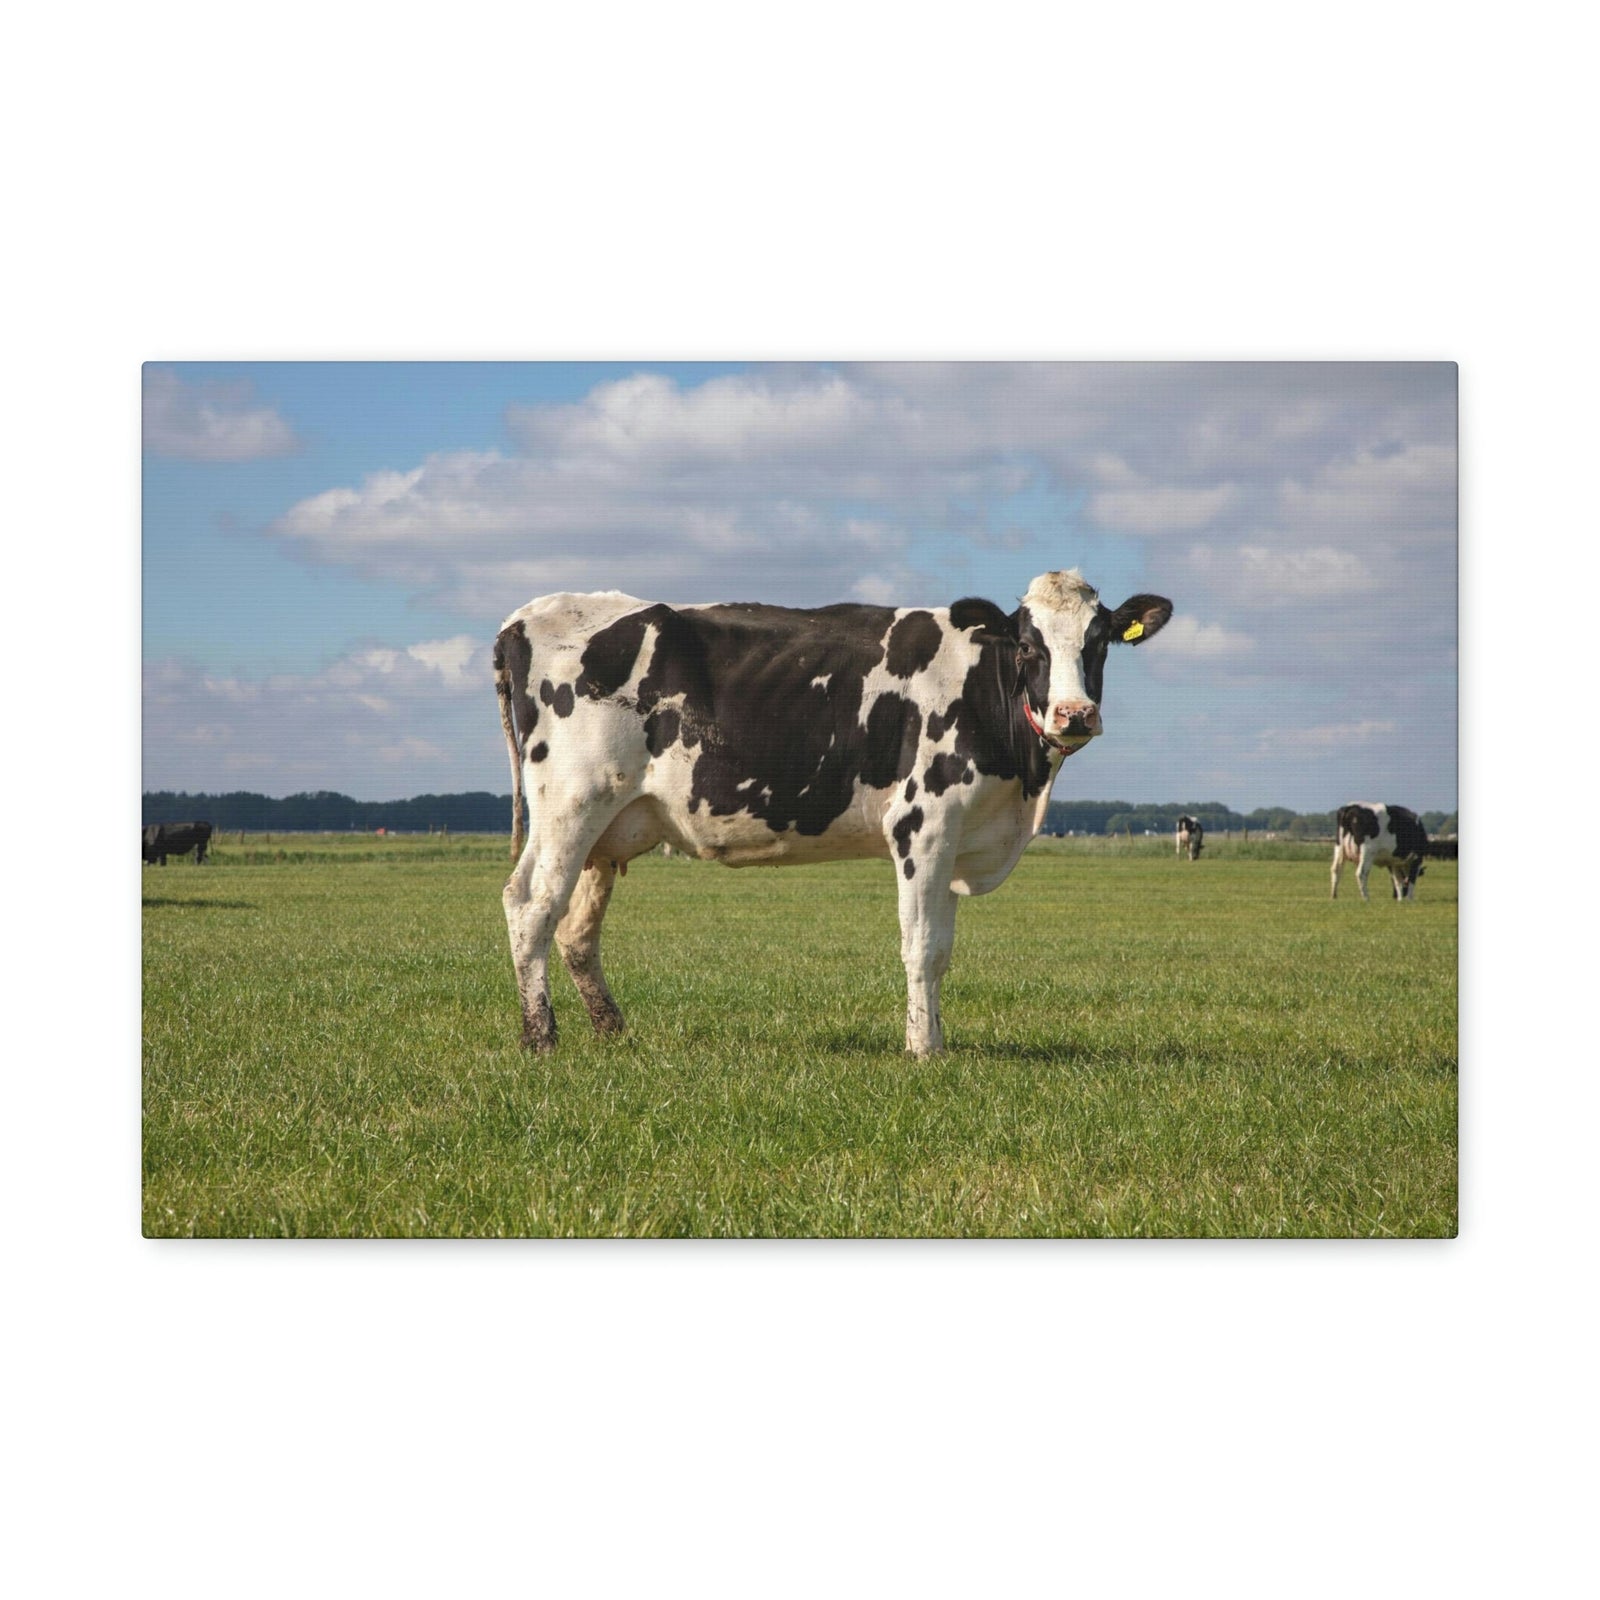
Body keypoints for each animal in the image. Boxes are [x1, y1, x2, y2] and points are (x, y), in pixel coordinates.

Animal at [494, 570, 1172, 1056]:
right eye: (1028, 646)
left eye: (1099, 642)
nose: (1074, 714)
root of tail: (526, 617)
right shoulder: (922, 825)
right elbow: (922, 946)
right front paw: (924, 1049)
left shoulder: (957, 836)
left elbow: (944, 949)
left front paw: (935, 1039)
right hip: (570, 802)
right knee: (530, 904)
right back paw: (540, 1037)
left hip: (606, 828)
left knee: (578, 929)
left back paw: (612, 1029)